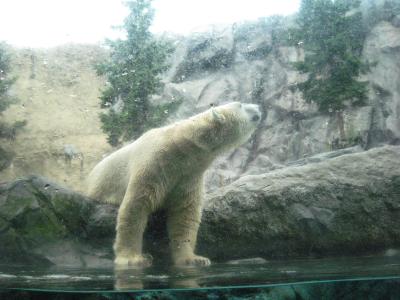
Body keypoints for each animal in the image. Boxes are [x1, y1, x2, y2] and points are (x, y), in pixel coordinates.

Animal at [87, 102, 260, 268]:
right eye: (240, 105)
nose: (258, 107)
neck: (180, 146)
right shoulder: (153, 165)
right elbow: (135, 207)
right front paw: (133, 259)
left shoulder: (188, 177)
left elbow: (185, 215)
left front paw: (194, 259)